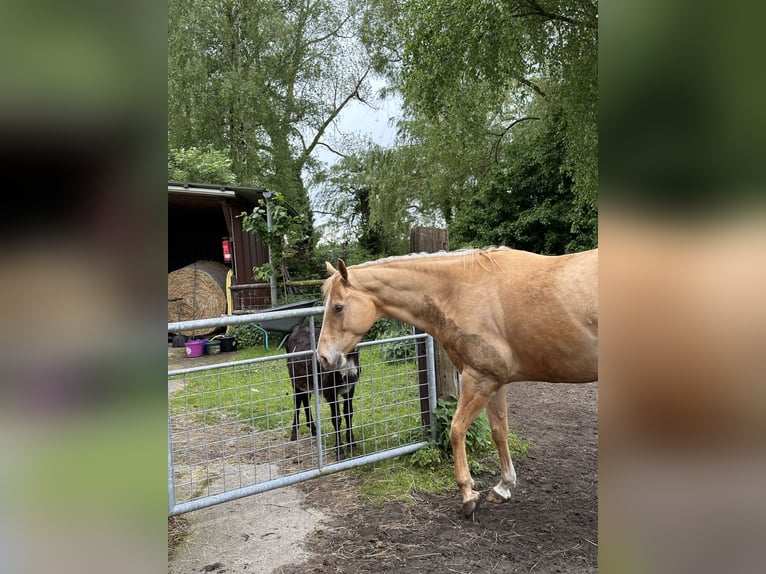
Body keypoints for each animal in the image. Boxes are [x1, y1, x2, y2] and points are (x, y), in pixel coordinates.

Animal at [318, 246, 600, 516]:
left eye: (338, 307)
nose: (323, 358)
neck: (461, 291)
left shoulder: (479, 380)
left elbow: (456, 430)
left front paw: (467, 495)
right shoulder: (495, 382)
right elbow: (499, 431)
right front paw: (503, 486)